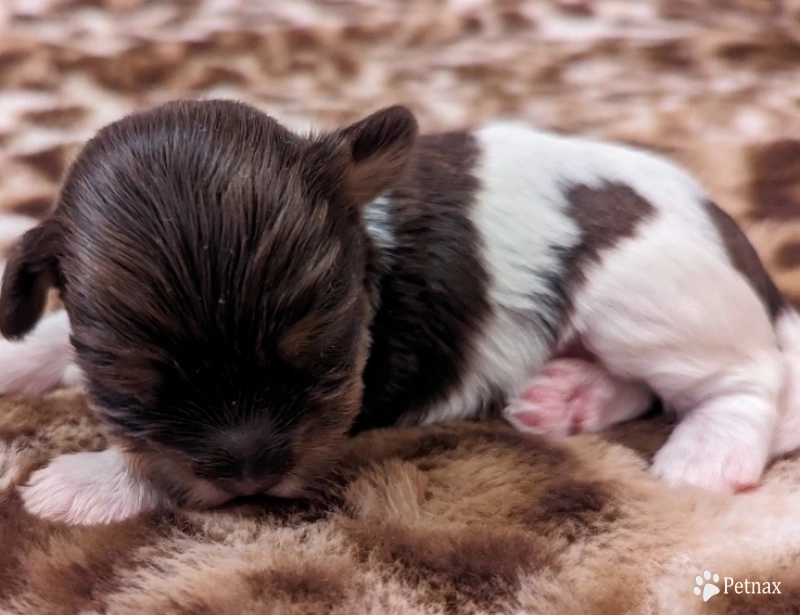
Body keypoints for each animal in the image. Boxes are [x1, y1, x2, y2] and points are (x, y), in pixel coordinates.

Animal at [1, 100, 800, 524]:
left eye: (325, 359)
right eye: (135, 385)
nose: (254, 469)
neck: (365, 248)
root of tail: (730, 234)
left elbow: (161, 463)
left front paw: (85, 481)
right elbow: (59, 341)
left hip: (638, 290)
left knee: (748, 376)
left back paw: (705, 454)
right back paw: (567, 397)